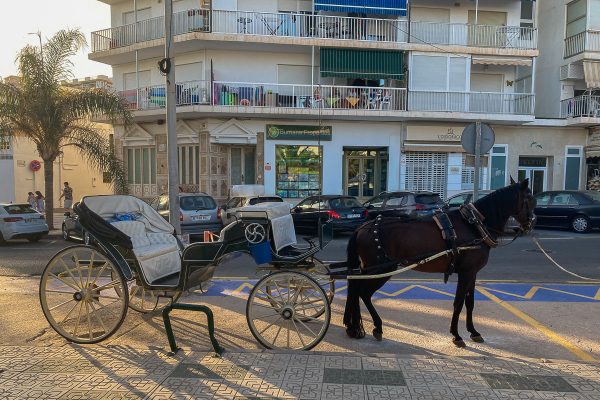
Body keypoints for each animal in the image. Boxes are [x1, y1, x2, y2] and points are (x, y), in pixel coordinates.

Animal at [342, 180, 536, 346]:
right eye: (530, 199)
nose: (532, 223)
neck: (474, 225)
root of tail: (362, 228)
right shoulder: (466, 272)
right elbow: (458, 302)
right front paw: (456, 335)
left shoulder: (472, 273)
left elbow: (470, 302)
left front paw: (473, 331)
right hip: (381, 269)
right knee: (363, 293)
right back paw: (376, 326)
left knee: (357, 290)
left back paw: (355, 327)